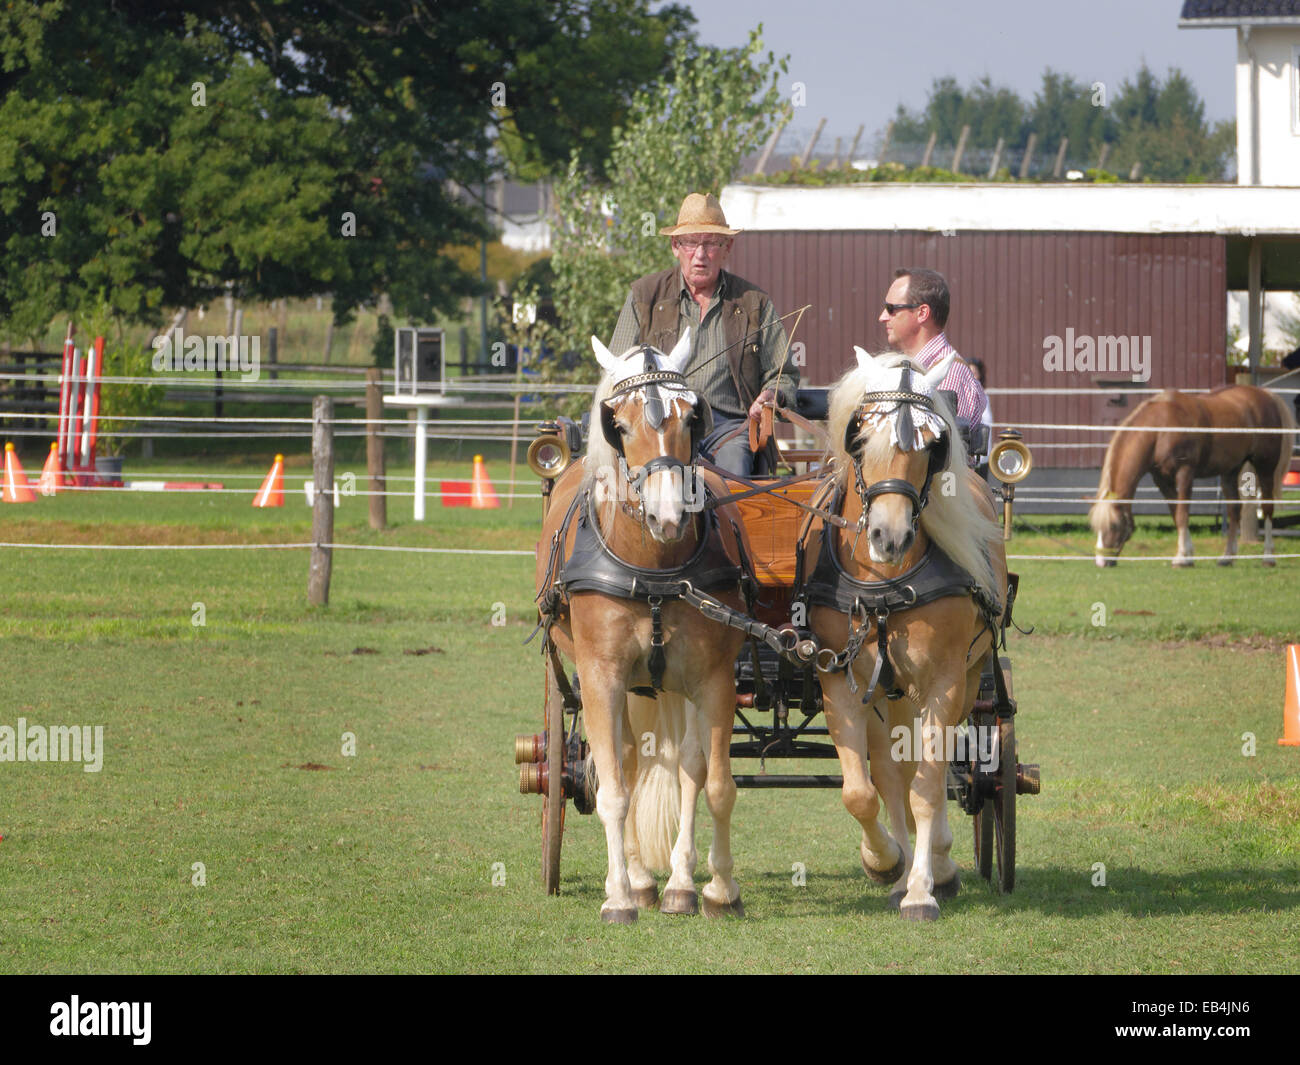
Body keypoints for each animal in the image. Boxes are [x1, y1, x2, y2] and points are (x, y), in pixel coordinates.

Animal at [534, 332, 748, 923]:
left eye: (691, 418)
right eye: (620, 426)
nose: (668, 516)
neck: (654, 568)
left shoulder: (713, 678)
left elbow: (714, 782)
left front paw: (718, 889)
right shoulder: (601, 677)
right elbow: (612, 788)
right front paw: (617, 896)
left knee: (684, 765)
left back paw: (675, 884)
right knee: (625, 765)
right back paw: (636, 880)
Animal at [801, 348, 1007, 921]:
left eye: (934, 446)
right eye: (859, 436)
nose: (888, 537)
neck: (883, 582)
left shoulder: (944, 682)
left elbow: (929, 785)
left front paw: (922, 888)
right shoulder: (840, 680)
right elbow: (863, 790)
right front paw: (886, 863)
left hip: (967, 677)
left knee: (936, 769)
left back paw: (938, 863)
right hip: (885, 693)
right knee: (892, 771)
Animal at [1088, 385, 1296, 567]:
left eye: (1114, 526)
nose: (1101, 562)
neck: (1160, 428)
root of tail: (1267, 395)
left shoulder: (1185, 473)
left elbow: (1182, 513)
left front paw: (1181, 558)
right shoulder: (1162, 480)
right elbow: (1176, 513)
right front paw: (1188, 554)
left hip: (1265, 467)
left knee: (1268, 509)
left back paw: (1268, 557)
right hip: (1230, 471)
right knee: (1234, 510)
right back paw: (1227, 558)